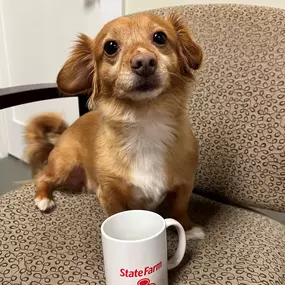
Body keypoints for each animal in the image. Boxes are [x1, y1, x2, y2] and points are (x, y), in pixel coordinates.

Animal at [23, 12, 203, 239]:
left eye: (160, 37)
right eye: (110, 47)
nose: (144, 61)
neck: (145, 119)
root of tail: (66, 131)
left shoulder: (185, 183)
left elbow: (180, 208)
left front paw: (187, 229)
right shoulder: (108, 193)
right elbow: (117, 214)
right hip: (63, 164)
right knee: (42, 177)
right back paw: (43, 199)